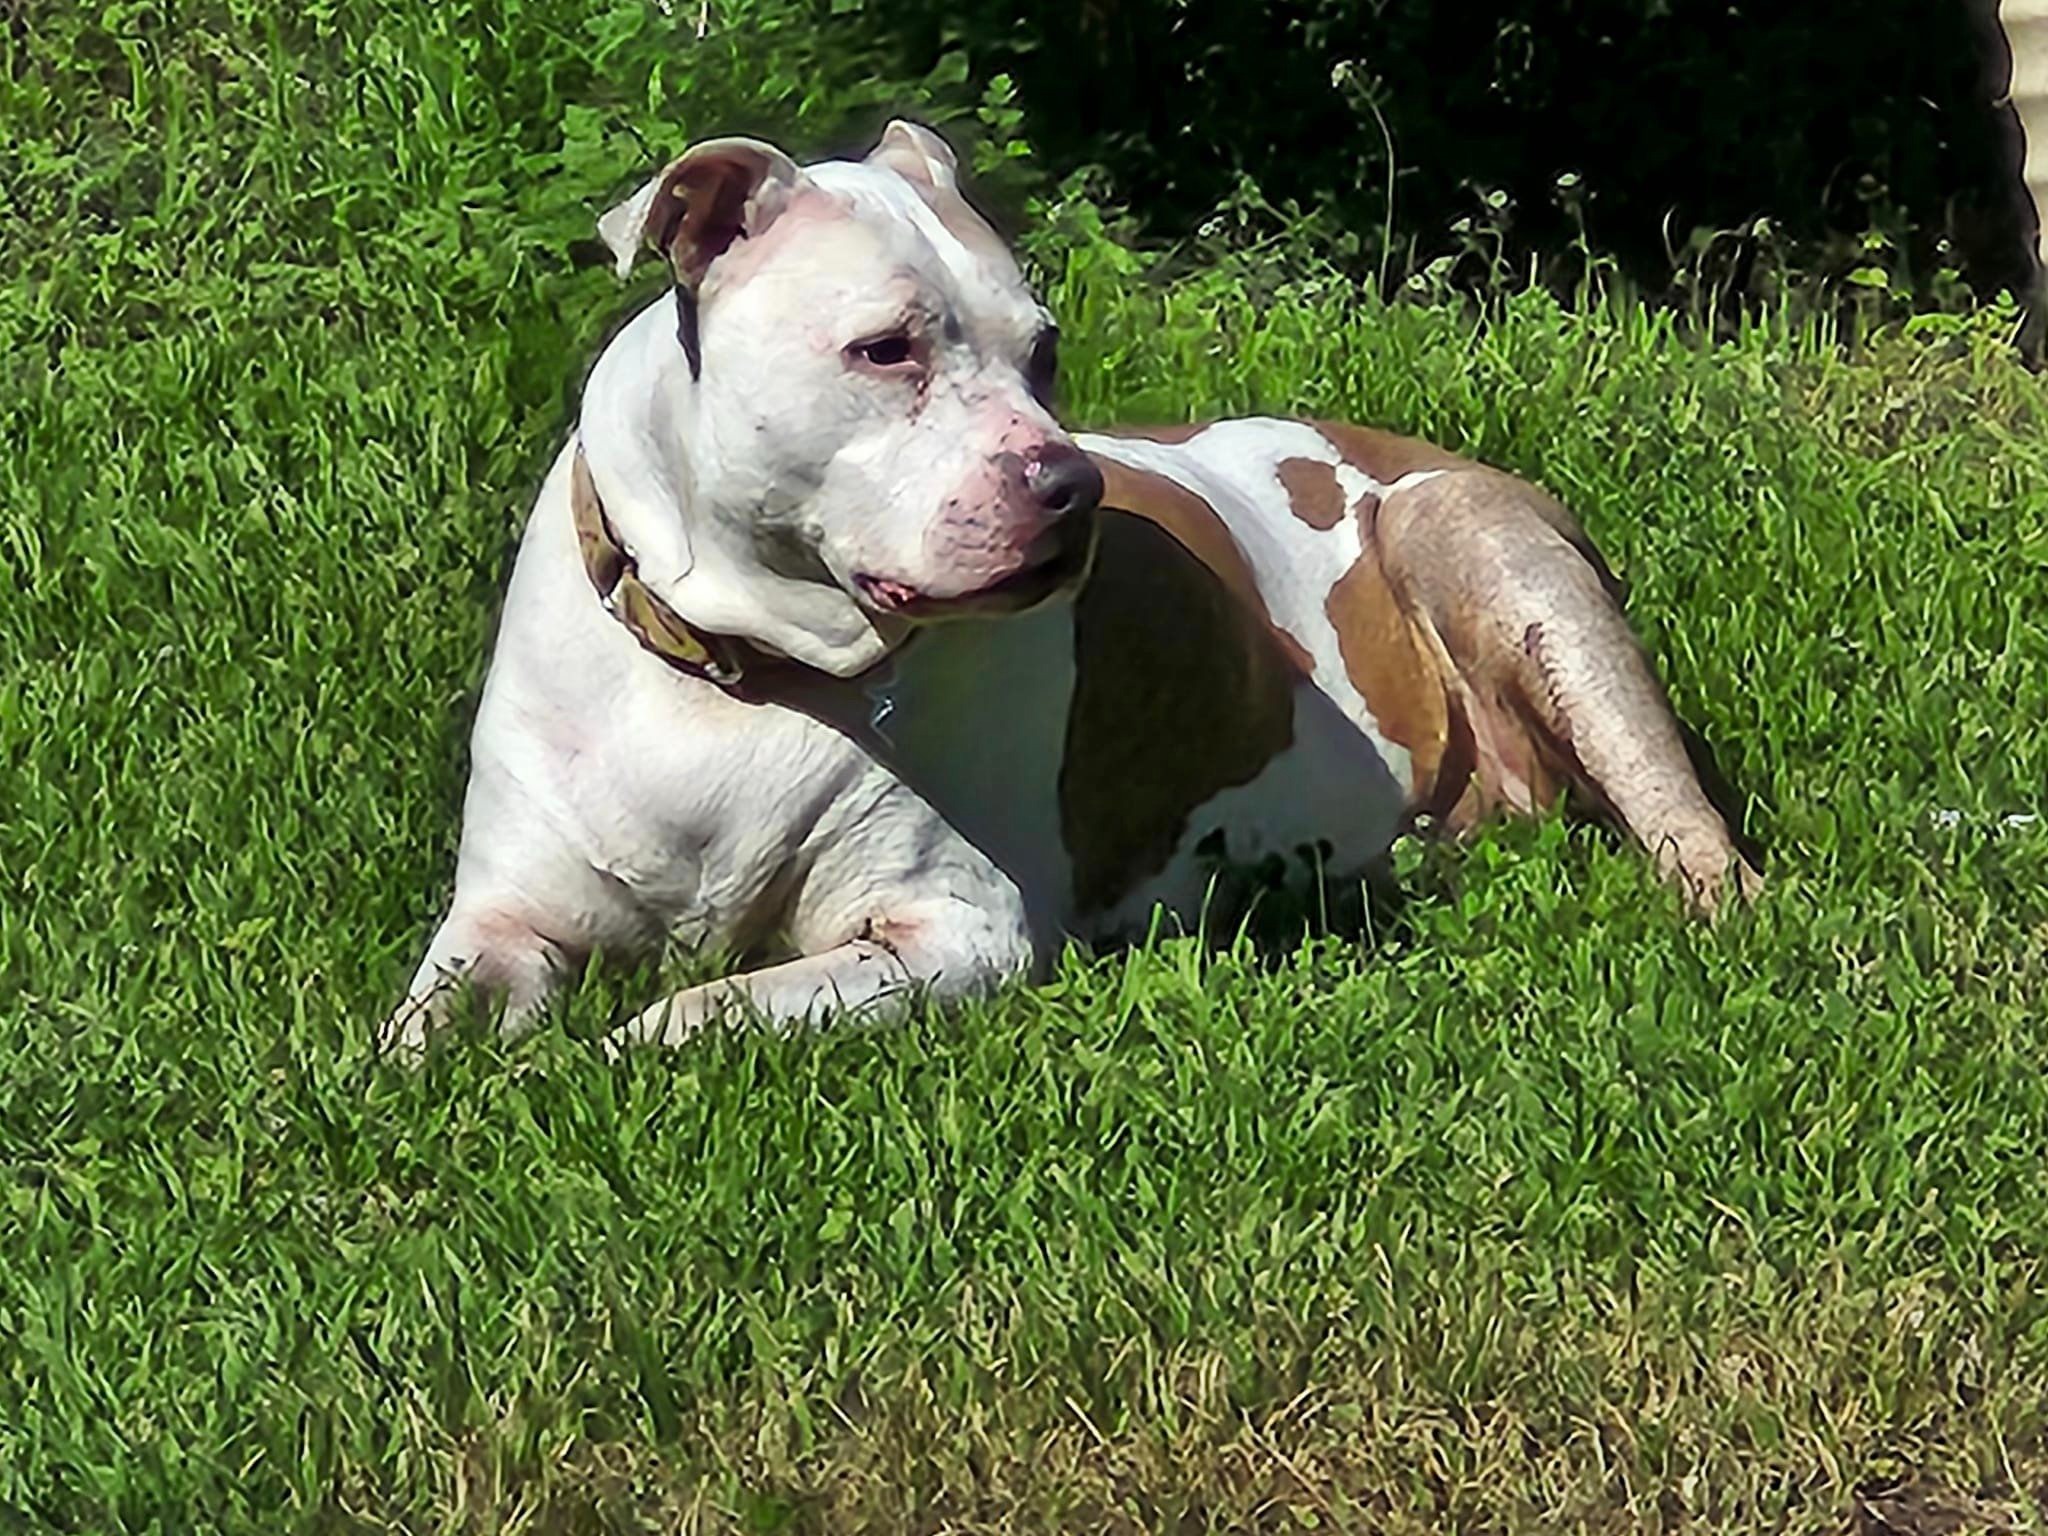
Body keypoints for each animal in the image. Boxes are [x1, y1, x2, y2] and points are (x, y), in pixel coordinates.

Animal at [385, 123, 1761, 1056]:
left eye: (1042, 351)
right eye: (885, 349)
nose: (1070, 484)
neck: (741, 663)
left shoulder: (951, 933)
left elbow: (700, 1013)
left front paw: (613, 1055)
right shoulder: (502, 914)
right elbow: (421, 1031)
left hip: (1481, 548)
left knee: (1691, 837)